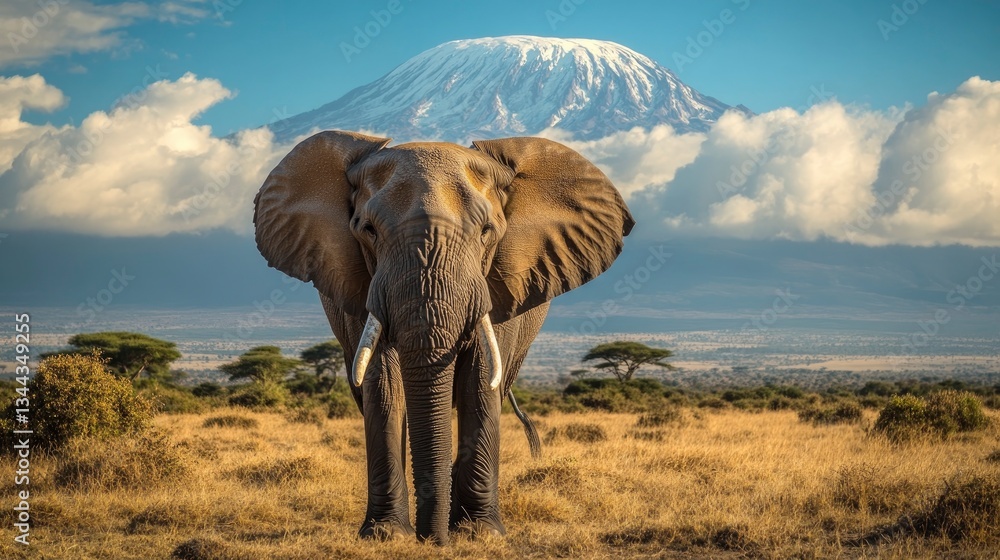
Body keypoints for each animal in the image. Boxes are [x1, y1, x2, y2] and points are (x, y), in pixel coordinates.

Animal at [253, 130, 634, 544]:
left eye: (486, 232)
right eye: (368, 230)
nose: (431, 540)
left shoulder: (499, 283)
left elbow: (481, 380)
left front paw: (479, 533)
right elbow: (384, 384)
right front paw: (386, 535)